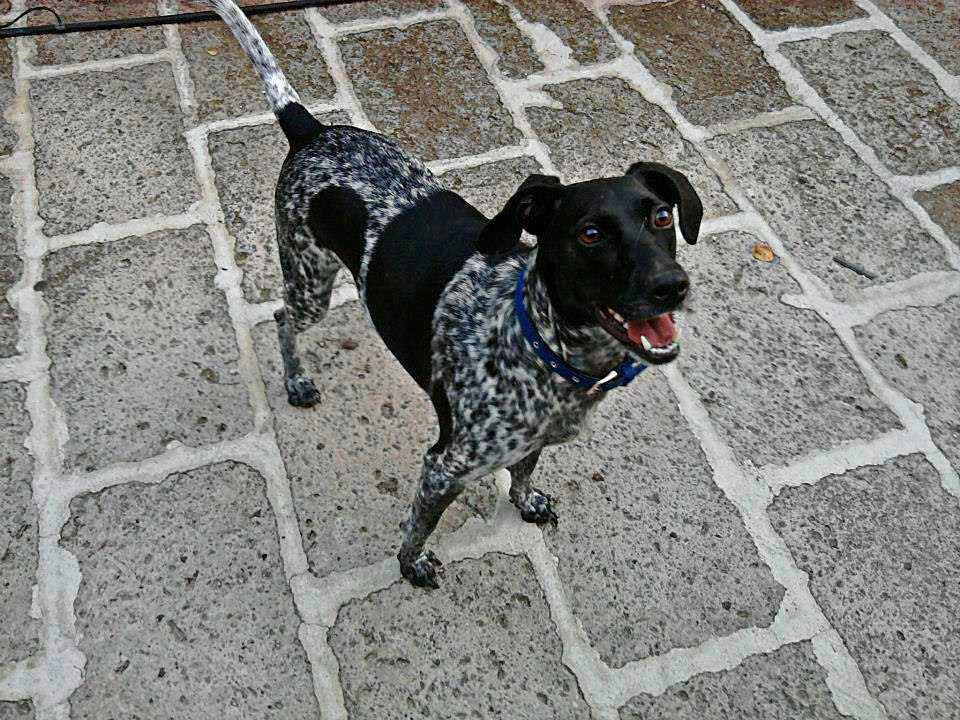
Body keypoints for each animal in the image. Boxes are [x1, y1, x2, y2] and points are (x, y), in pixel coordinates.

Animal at [202, 0, 702, 588]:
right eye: (591, 234)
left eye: (662, 217)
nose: (671, 286)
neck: (538, 343)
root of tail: (312, 130)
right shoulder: (445, 465)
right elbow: (421, 523)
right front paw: (410, 563)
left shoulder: (532, 440)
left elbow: (523, 472)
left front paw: (526, 502)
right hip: (310, 280)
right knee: (283, 317)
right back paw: (296, 381)